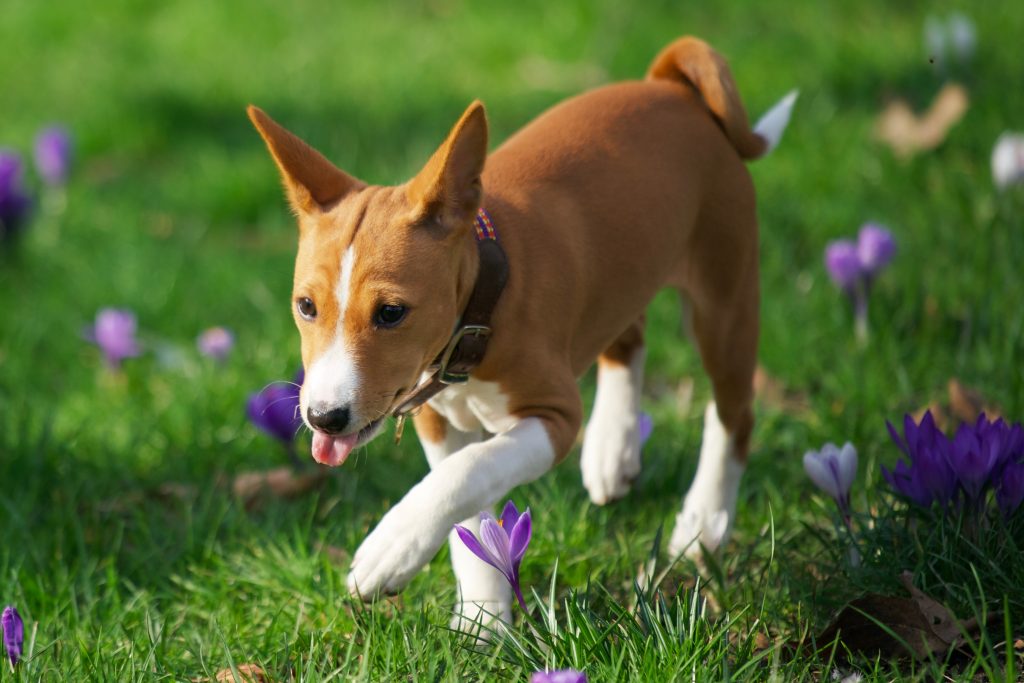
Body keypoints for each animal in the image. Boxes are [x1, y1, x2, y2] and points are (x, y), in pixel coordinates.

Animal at [247, 36, 790, 630]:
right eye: (306, 307)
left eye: (391, 313)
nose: (324, 417)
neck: (479, 314)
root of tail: (670, 88)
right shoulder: (436, 421)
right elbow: (471, 523)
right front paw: (483, 622)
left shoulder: (554, 417)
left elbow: (466, 474)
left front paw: (390, 550)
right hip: (628, 269)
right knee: (627, 336)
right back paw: (612, 447)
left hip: (724, 295)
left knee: (733, 413)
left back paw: (703, 524)